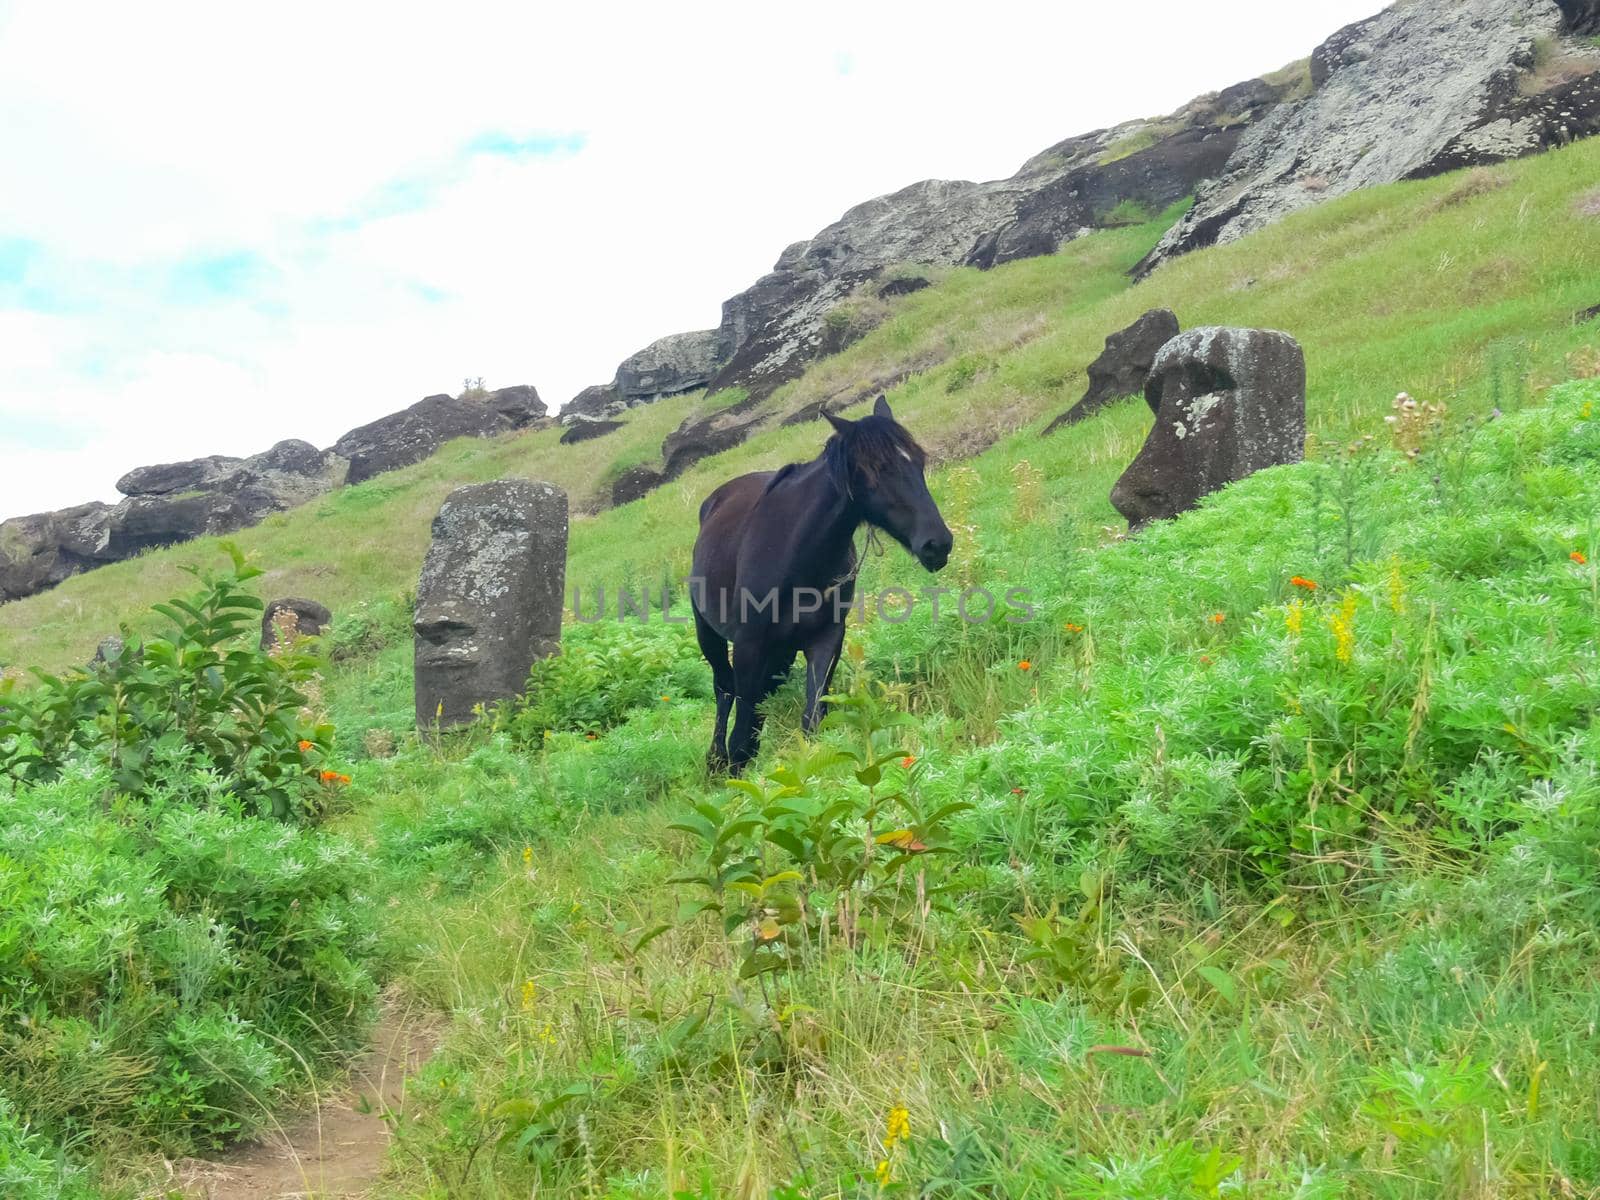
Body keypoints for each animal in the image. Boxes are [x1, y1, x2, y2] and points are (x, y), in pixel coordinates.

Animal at [688, 395, 947, 771]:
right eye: (876, 470)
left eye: (919, 461)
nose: (937, 544)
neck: (793, 554)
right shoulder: (750, 645)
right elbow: (742, 736)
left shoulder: (825, 638)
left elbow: (811, 720)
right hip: (709, 634)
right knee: (724, 690)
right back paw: (715, 760)